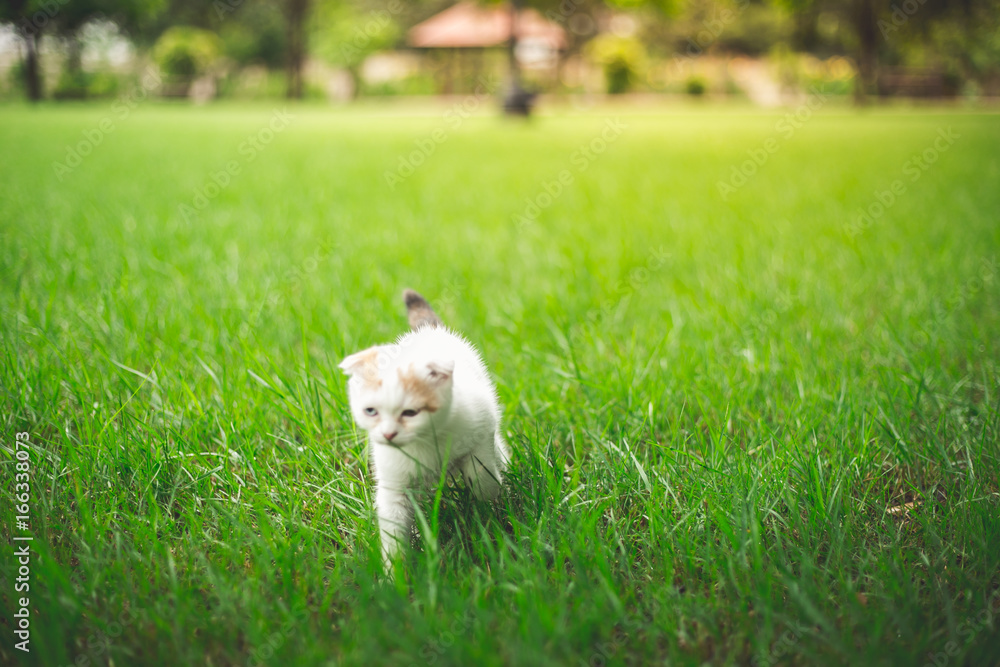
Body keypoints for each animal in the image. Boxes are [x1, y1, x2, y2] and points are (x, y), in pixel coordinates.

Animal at [340, 290, 508, 568]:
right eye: (371, 411)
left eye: (410, 412)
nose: (388, 434)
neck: (424, 442)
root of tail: (428, 332)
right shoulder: (394, 482)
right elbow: (393, 527)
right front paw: (395, 571)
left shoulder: (480, 428)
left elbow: (481, 473)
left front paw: (488, 515)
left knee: (497, 451)